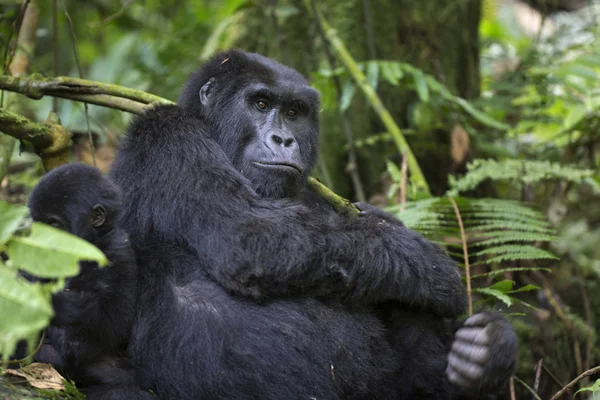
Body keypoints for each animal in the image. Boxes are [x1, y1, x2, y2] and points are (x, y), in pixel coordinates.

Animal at [28, 163, 152, 400]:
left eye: (54, 226)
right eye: (37, 224)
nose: (40, 242)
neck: (94, 241)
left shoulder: (116, 251)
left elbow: (103, 324)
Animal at [110, 50, 516, 400]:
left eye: (294, 112)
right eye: (260, 104)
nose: (284, 139)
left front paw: (492, 349)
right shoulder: (166, 133)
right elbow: (248, 235)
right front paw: (428, 264)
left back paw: (480, 362)